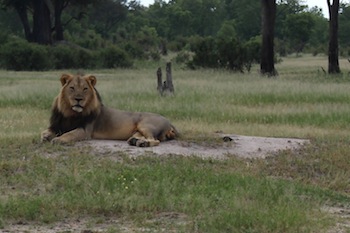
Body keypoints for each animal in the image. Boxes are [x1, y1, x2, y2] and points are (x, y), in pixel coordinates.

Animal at [39, 73, 179, 147]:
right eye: (72, 88)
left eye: (85, 89)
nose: (78, 99)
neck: (70, 112)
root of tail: (170, 122)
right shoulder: (56, 125)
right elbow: (44, 132)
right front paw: (45, 137)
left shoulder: (85, 131)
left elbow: (69, 134)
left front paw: (58, 139)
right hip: (138, 131)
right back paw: (136, 141)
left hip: (146, 125)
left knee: (155, 140)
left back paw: (142, 143)